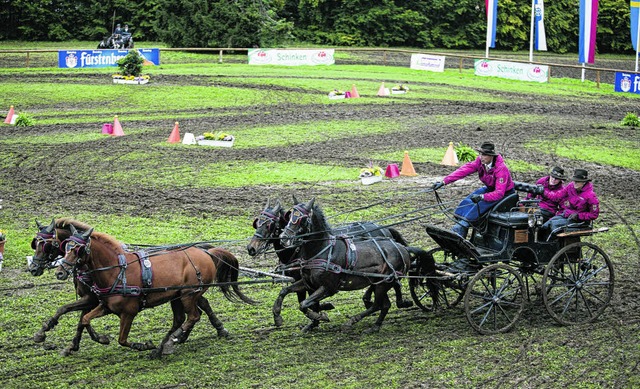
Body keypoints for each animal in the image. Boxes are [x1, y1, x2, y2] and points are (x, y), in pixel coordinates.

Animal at [54, 224, 255, 358]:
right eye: (66, 247)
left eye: (78, 249)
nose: (60, 271)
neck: (117, 271)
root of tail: (205, 253)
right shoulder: (106, 306)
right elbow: (85, 319)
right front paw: (100, 338)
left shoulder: (129, 312)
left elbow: (122, 339)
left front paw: (144, 345)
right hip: (177, 296)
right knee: (181, 319)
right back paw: (164, 346)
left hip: (188, 294)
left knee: (193, 317)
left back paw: (171, 341)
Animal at [280, 199, 440, 332]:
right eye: (289, 216)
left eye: (302, 219)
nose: (284, 237)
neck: (322, 250)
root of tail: (403, 248)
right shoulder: (308, 283)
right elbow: (287, 293)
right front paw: (278, 317)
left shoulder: (328, 288)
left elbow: (304, 304)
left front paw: (320, 317)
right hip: (379, 282)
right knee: (384, 304)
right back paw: (375, 325)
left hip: (384, 283)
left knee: (379, 304)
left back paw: (353, 320)